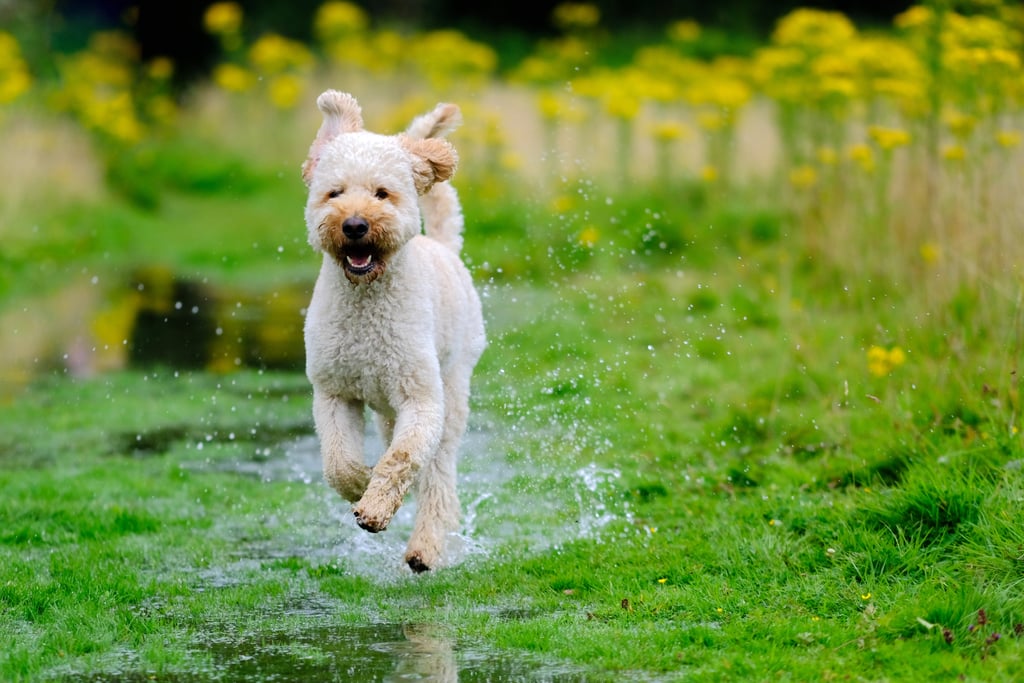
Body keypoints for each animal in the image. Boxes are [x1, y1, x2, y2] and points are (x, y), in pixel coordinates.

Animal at [299, 90, 483, 573]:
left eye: (382, 193)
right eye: (334, 192)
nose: (354, 225)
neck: (365, 301)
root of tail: (442, 245)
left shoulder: (421, 400)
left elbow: (402, 459)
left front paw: (376, 508)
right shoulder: (334, 392)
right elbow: (338, 462)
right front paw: (361, 484)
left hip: (452, 391)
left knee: (437, 477)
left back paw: (425, 548)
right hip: (385, 411)